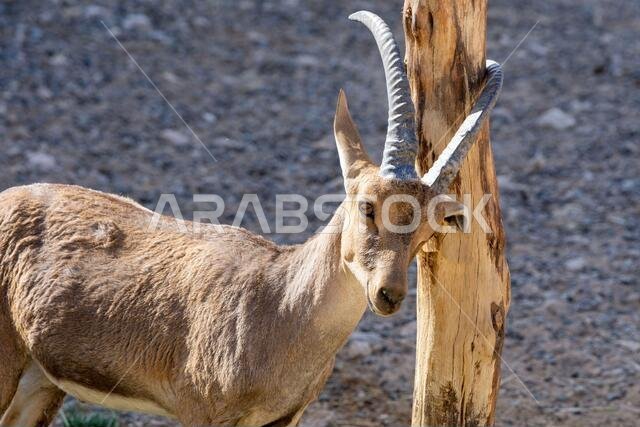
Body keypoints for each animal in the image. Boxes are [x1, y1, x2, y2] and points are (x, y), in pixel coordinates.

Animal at [0, 11, 502, 427]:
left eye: (426, 231)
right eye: (367, 205)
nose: (388, 294)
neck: (280, 308)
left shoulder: (283, 419)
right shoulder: (202, 411)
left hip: (39, 379)